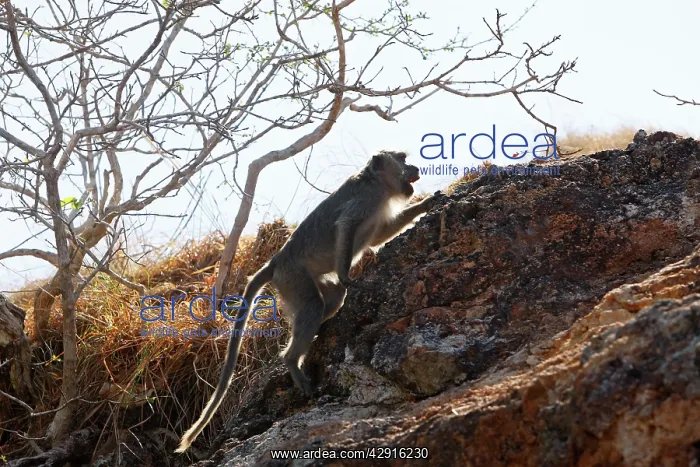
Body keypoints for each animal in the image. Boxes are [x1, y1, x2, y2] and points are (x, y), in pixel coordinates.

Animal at [175, 150, 445, 453]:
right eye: (402, 159)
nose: (415, 168)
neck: (377, 183)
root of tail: (275, 262)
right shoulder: (365, 199)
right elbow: (346, 227)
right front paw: (346, 273)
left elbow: (378, 234)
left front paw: (428, 204)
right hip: (294, 277)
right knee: (314, 305)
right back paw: (293, 360)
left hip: (296, 282)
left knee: (330, 299)